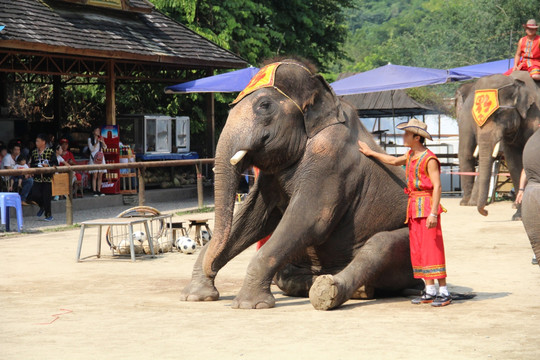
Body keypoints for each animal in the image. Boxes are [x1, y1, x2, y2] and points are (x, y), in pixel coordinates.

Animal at [180, 59, 422, 310]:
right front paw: (196, 296)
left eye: (264, 105)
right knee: (285, 274)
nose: (211, 271)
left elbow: (309, 220)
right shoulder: (271, 175)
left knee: (379, 244)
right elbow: (253, 219)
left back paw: (332, 290)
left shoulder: (331, 157)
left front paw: (248, 305)